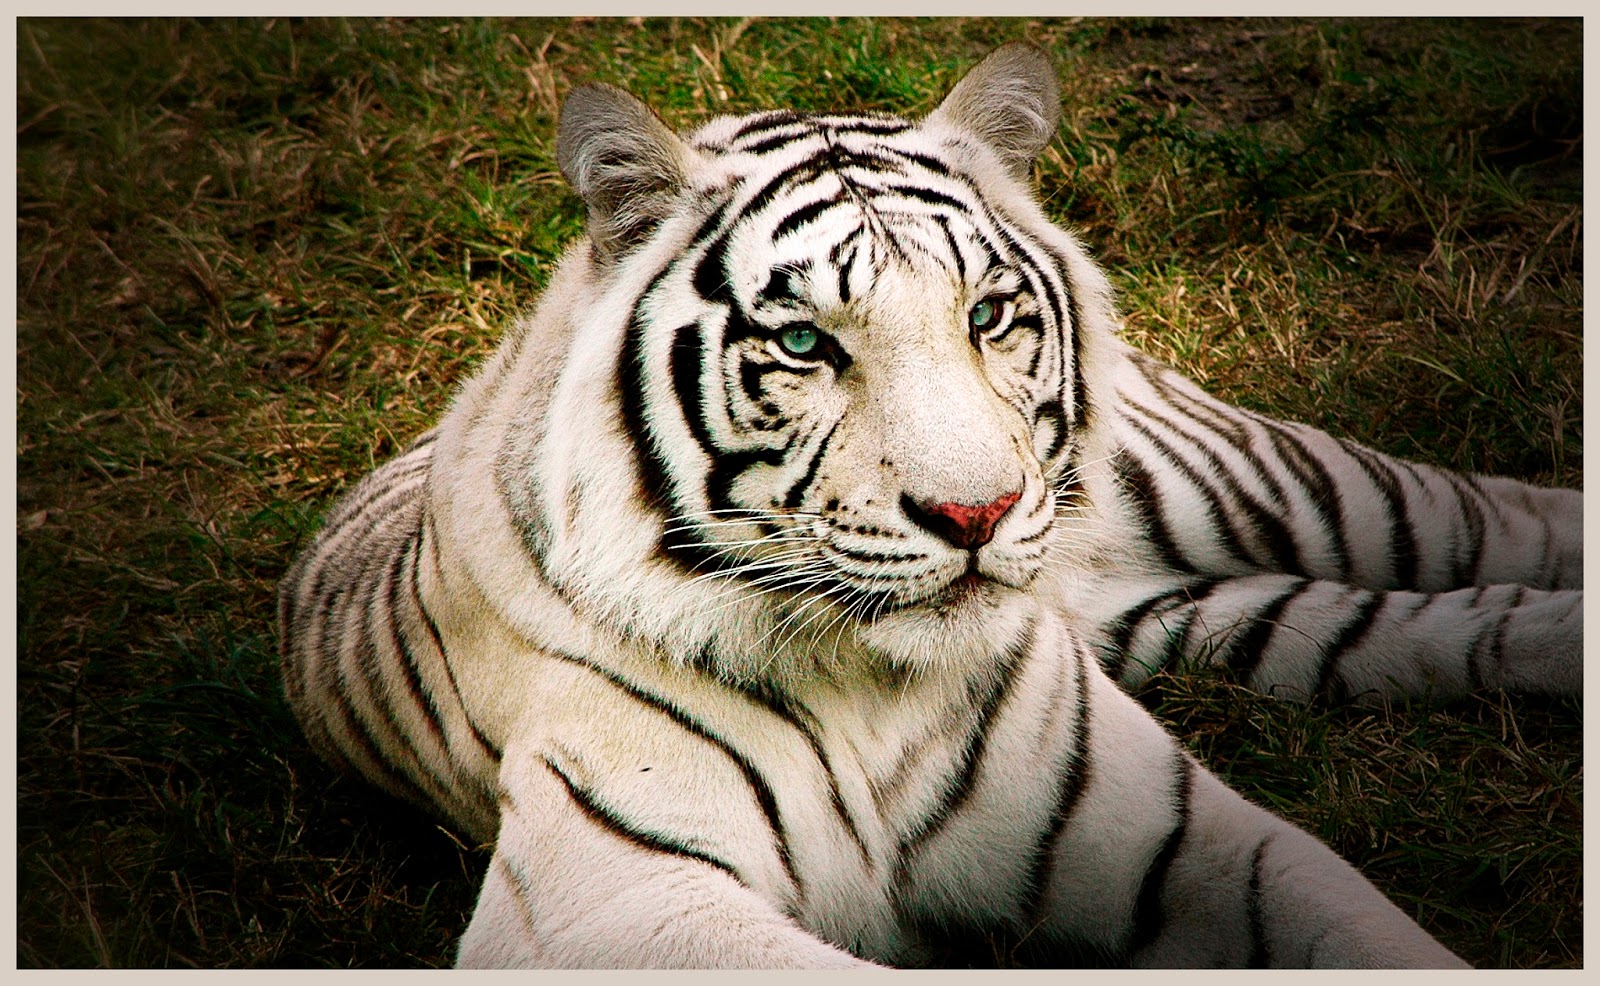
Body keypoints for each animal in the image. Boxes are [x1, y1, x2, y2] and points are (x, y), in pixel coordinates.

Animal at [278, 43, 1580, 968]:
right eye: (805, 342)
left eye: (988, 314)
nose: (979, 513)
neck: (870, 685)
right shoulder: (611, 894)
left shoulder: (1181, 832)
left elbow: (1361, 922)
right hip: (1211, 621)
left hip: (1256, 477)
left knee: (1486, 517)